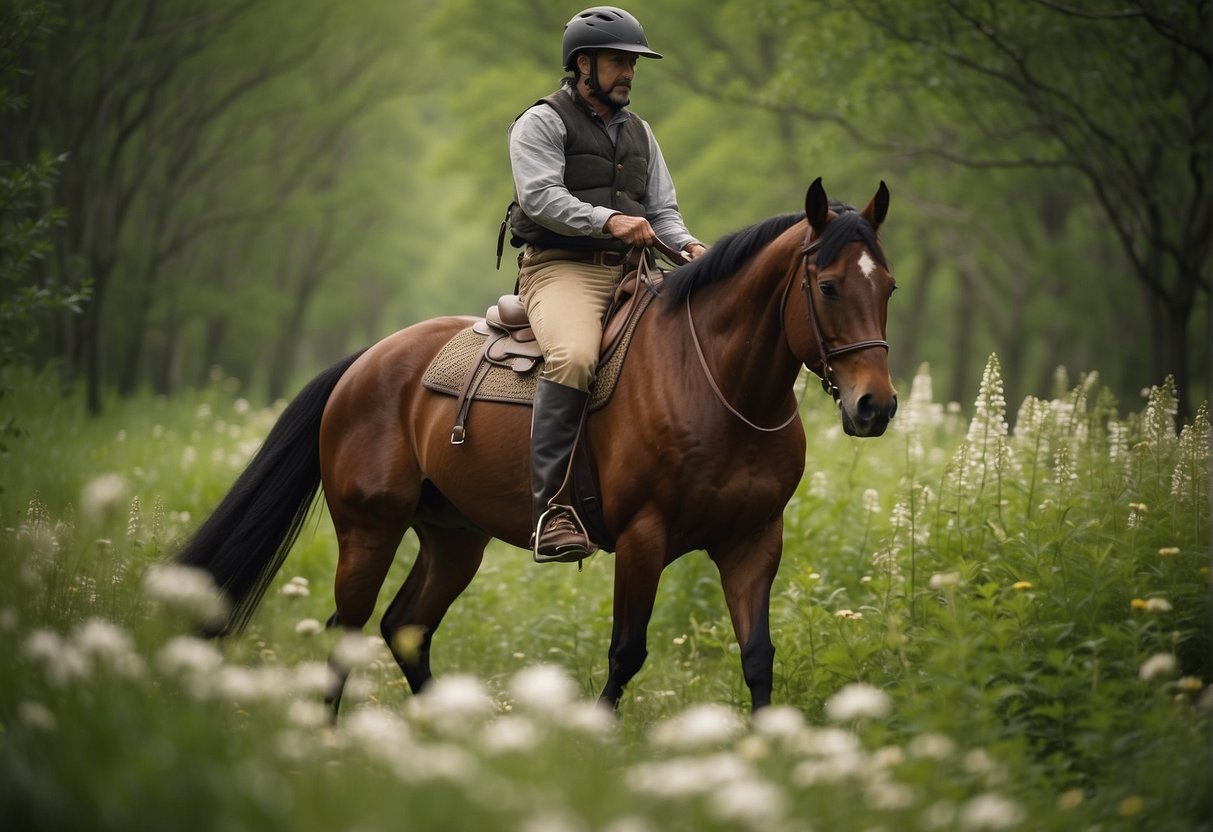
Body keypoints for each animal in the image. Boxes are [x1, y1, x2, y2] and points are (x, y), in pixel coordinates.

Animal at [175, 177, 898, 715]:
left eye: (886, 286)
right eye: (828, 286)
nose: (876, 406)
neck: (717, 387)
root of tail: (366, 362)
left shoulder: (753, 542)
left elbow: (757, 657)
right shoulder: (643, 538)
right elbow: (625, 652)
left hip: (454, 538)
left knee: (405, 627)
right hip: (369, 529)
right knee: (347, 632)